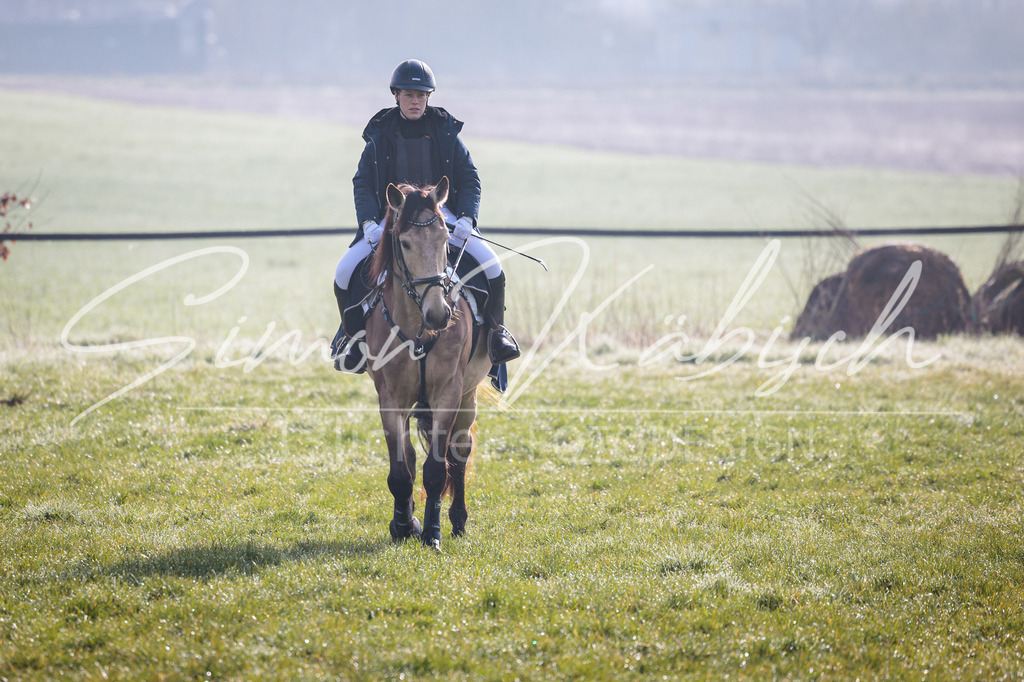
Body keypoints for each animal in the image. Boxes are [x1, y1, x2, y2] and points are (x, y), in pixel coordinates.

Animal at [362, 177, 492, 550]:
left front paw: (432, 533)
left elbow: (436, 471)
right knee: (411, 455)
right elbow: (400, 471)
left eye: (446, 240)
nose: (439, 314)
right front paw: (405, 525)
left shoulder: (448, 394)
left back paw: (458, 521)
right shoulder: (391, 399)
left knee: (460, 452)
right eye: (405, 243)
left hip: (468, 396)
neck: (418, 327)